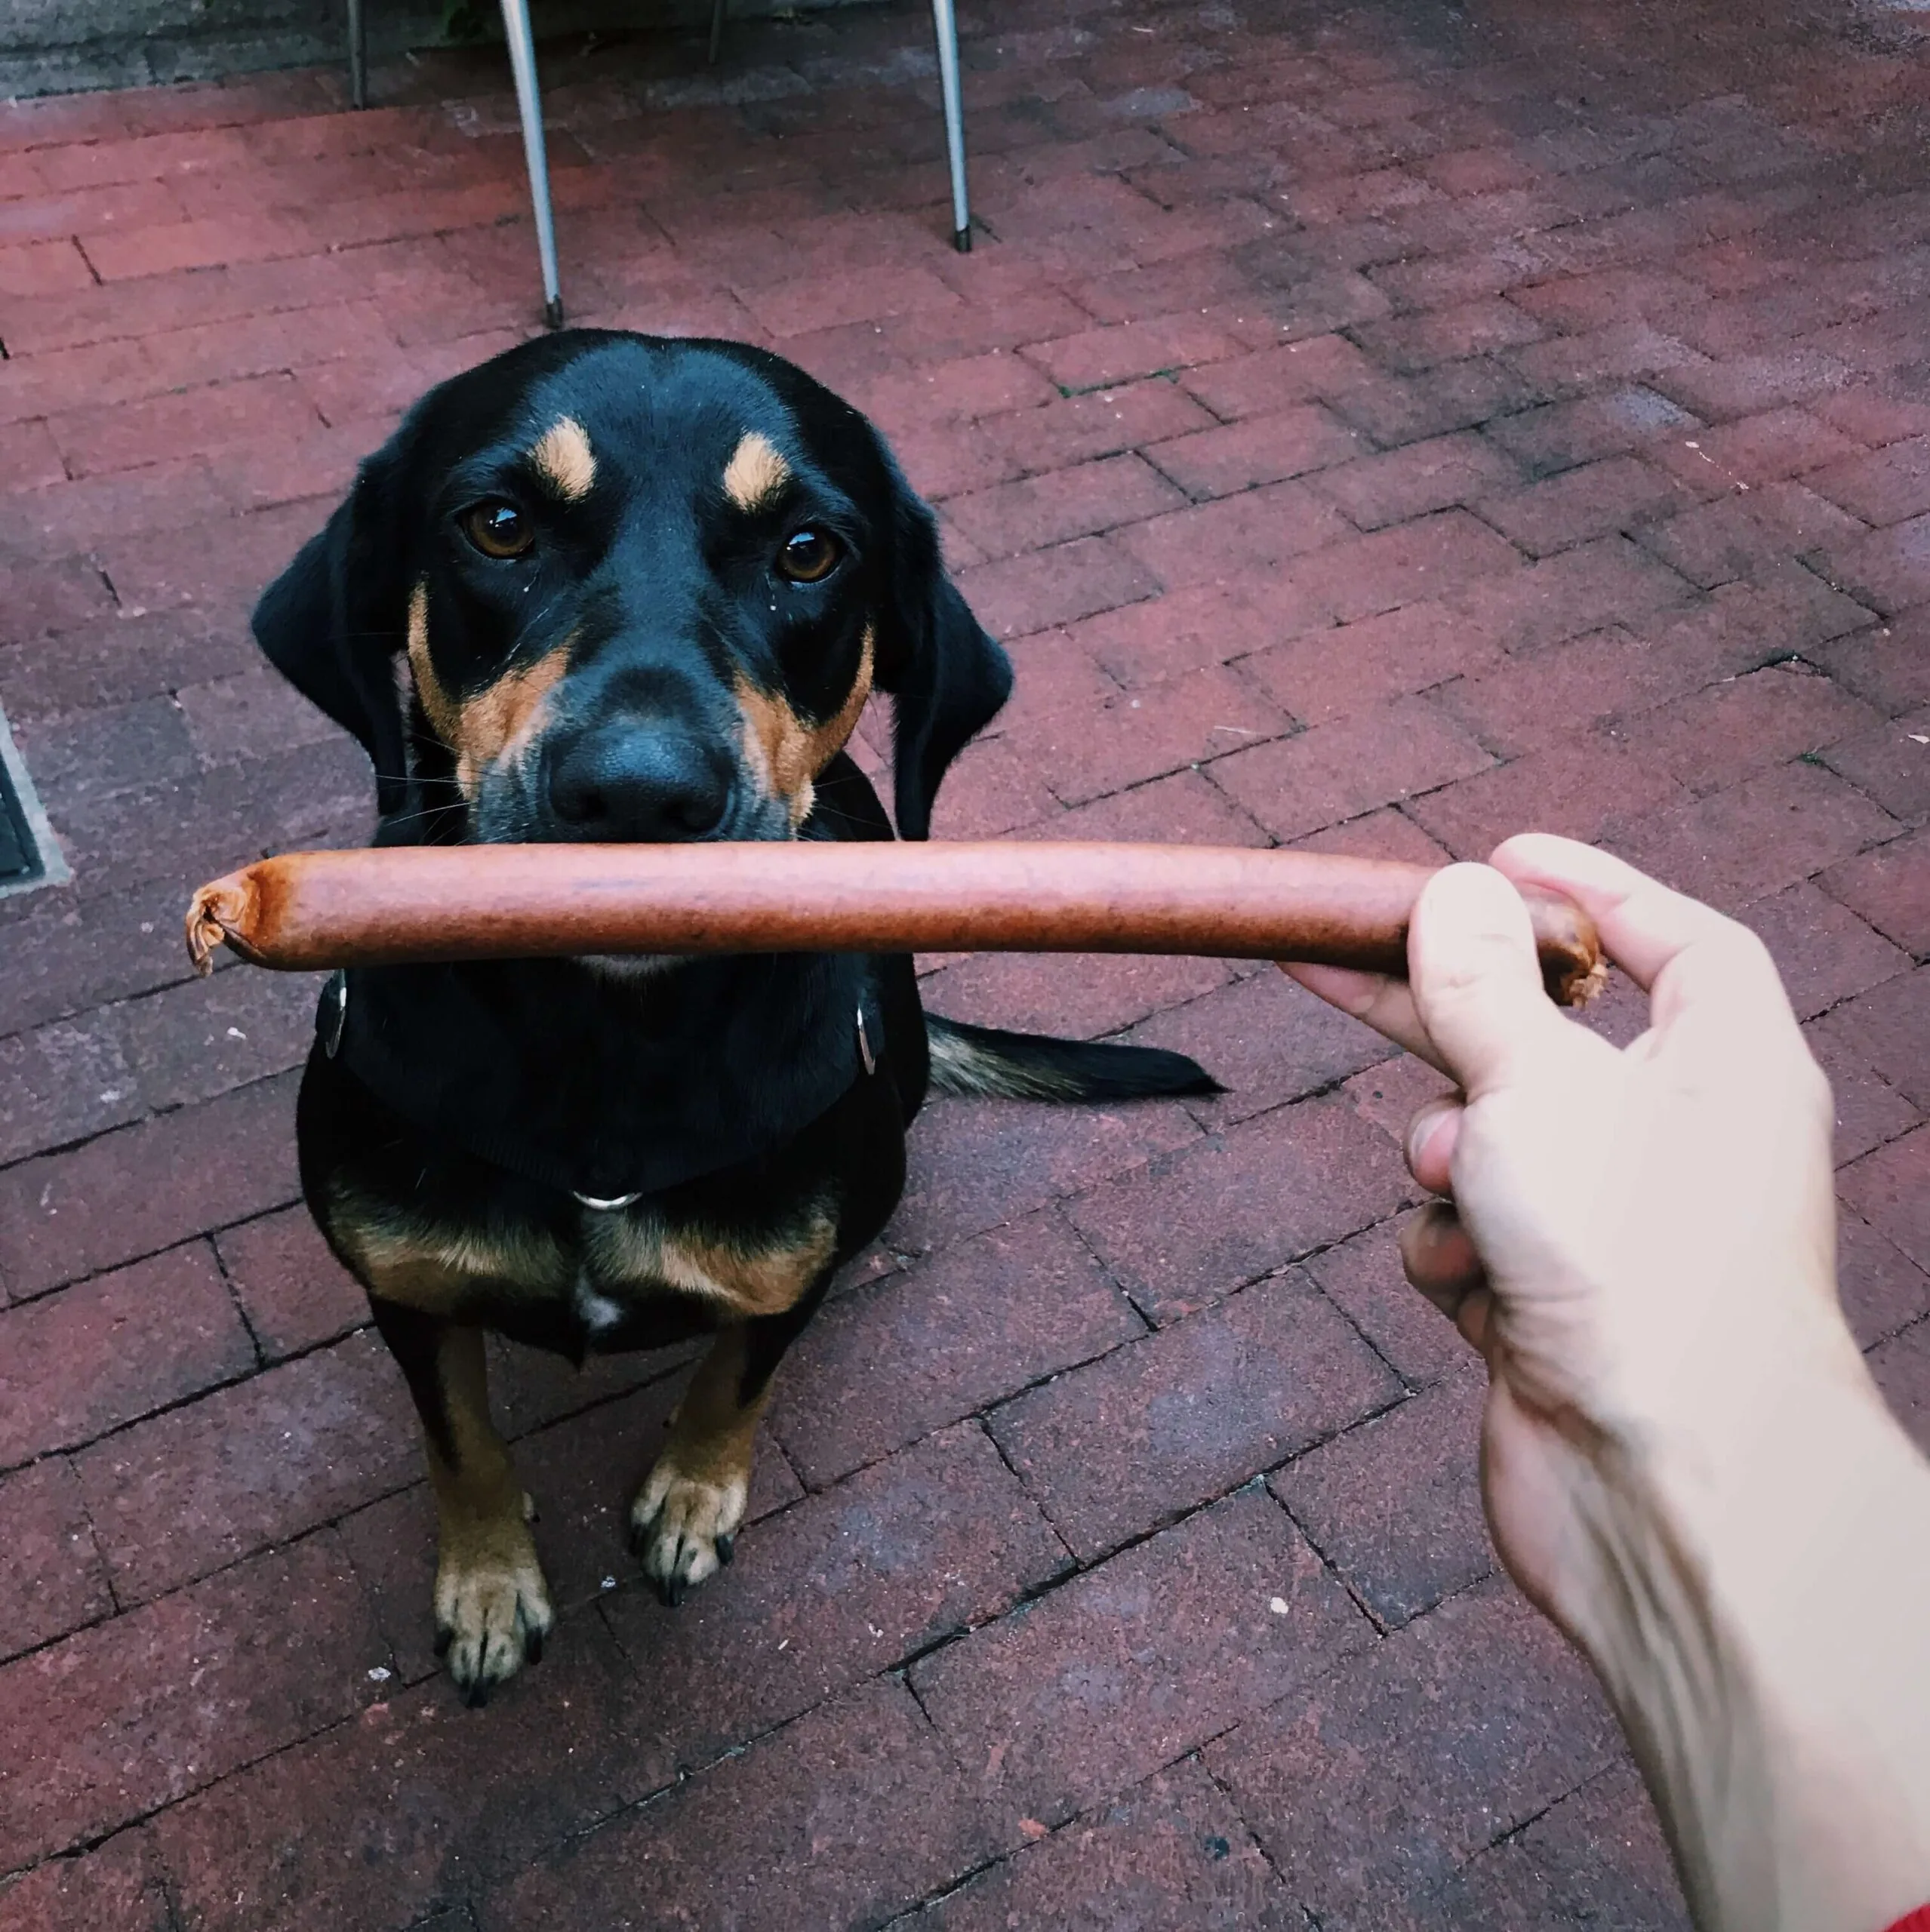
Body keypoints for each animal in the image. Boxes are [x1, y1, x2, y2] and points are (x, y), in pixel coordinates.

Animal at [254, 332, 1205, 1708]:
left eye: (808, 550)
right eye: (498, 526)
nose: (639, 793)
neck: (604, 1054)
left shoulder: (779, 1277)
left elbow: (734, 1376)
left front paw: (693, 1499)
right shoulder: (406, 1288)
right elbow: (461, 1441)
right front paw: (486, 1584)